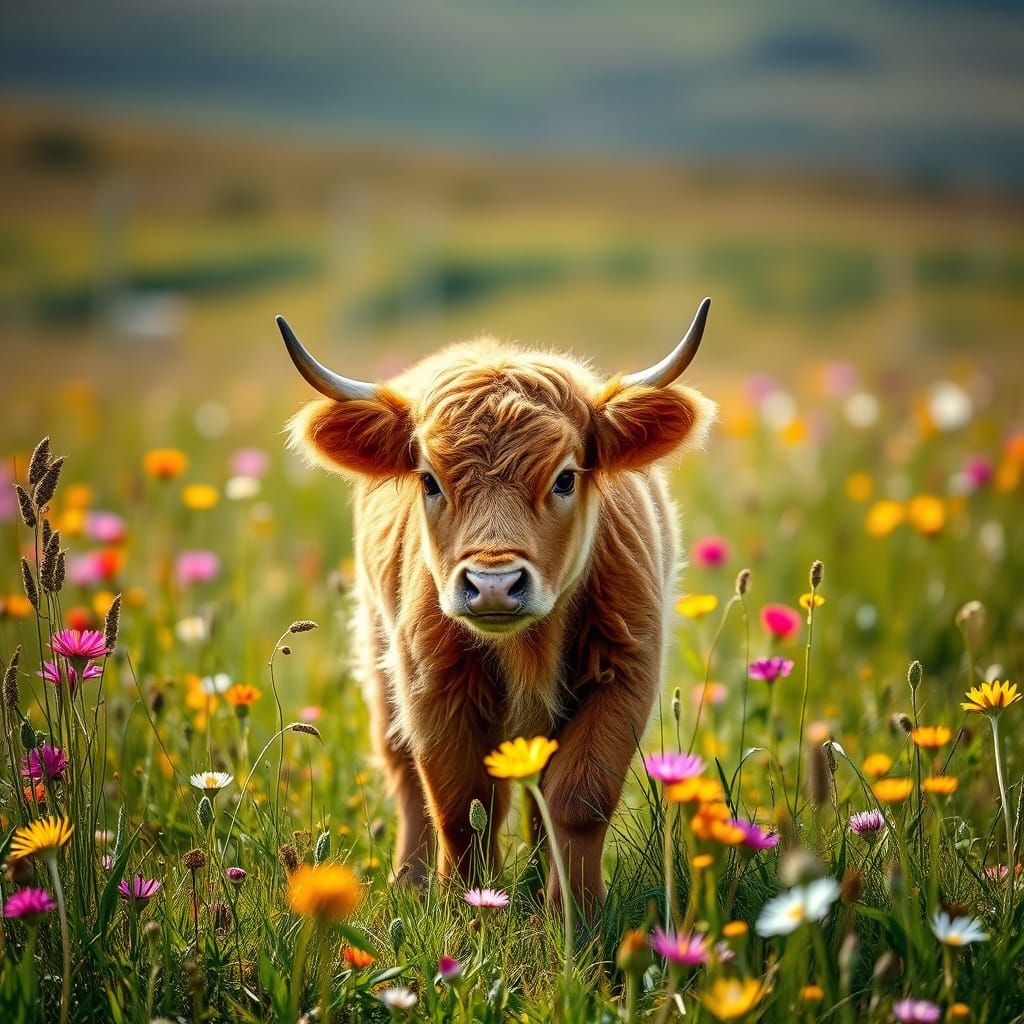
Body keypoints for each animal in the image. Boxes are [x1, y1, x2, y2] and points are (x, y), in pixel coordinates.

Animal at [280, 299, 716, 911]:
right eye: (430, 481)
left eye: (565, 478)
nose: (492, 584)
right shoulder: (431, 688)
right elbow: (461, 808)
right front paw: (470, 908)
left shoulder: (627, 673)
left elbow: (577, 801)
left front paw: (578, 914)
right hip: (378, 651)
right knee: (402, 768)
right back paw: (409, 882)